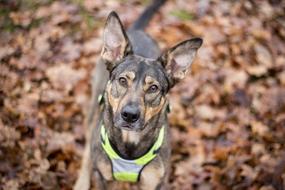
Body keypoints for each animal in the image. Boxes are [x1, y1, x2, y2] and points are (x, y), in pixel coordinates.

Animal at [74, 0, 202, 189]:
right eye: (122, 80)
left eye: (153, 88)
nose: (129, 115)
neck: (130, 146)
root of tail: (137, 30)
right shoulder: (103, 178)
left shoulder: (154, 182)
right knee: (87, 153)